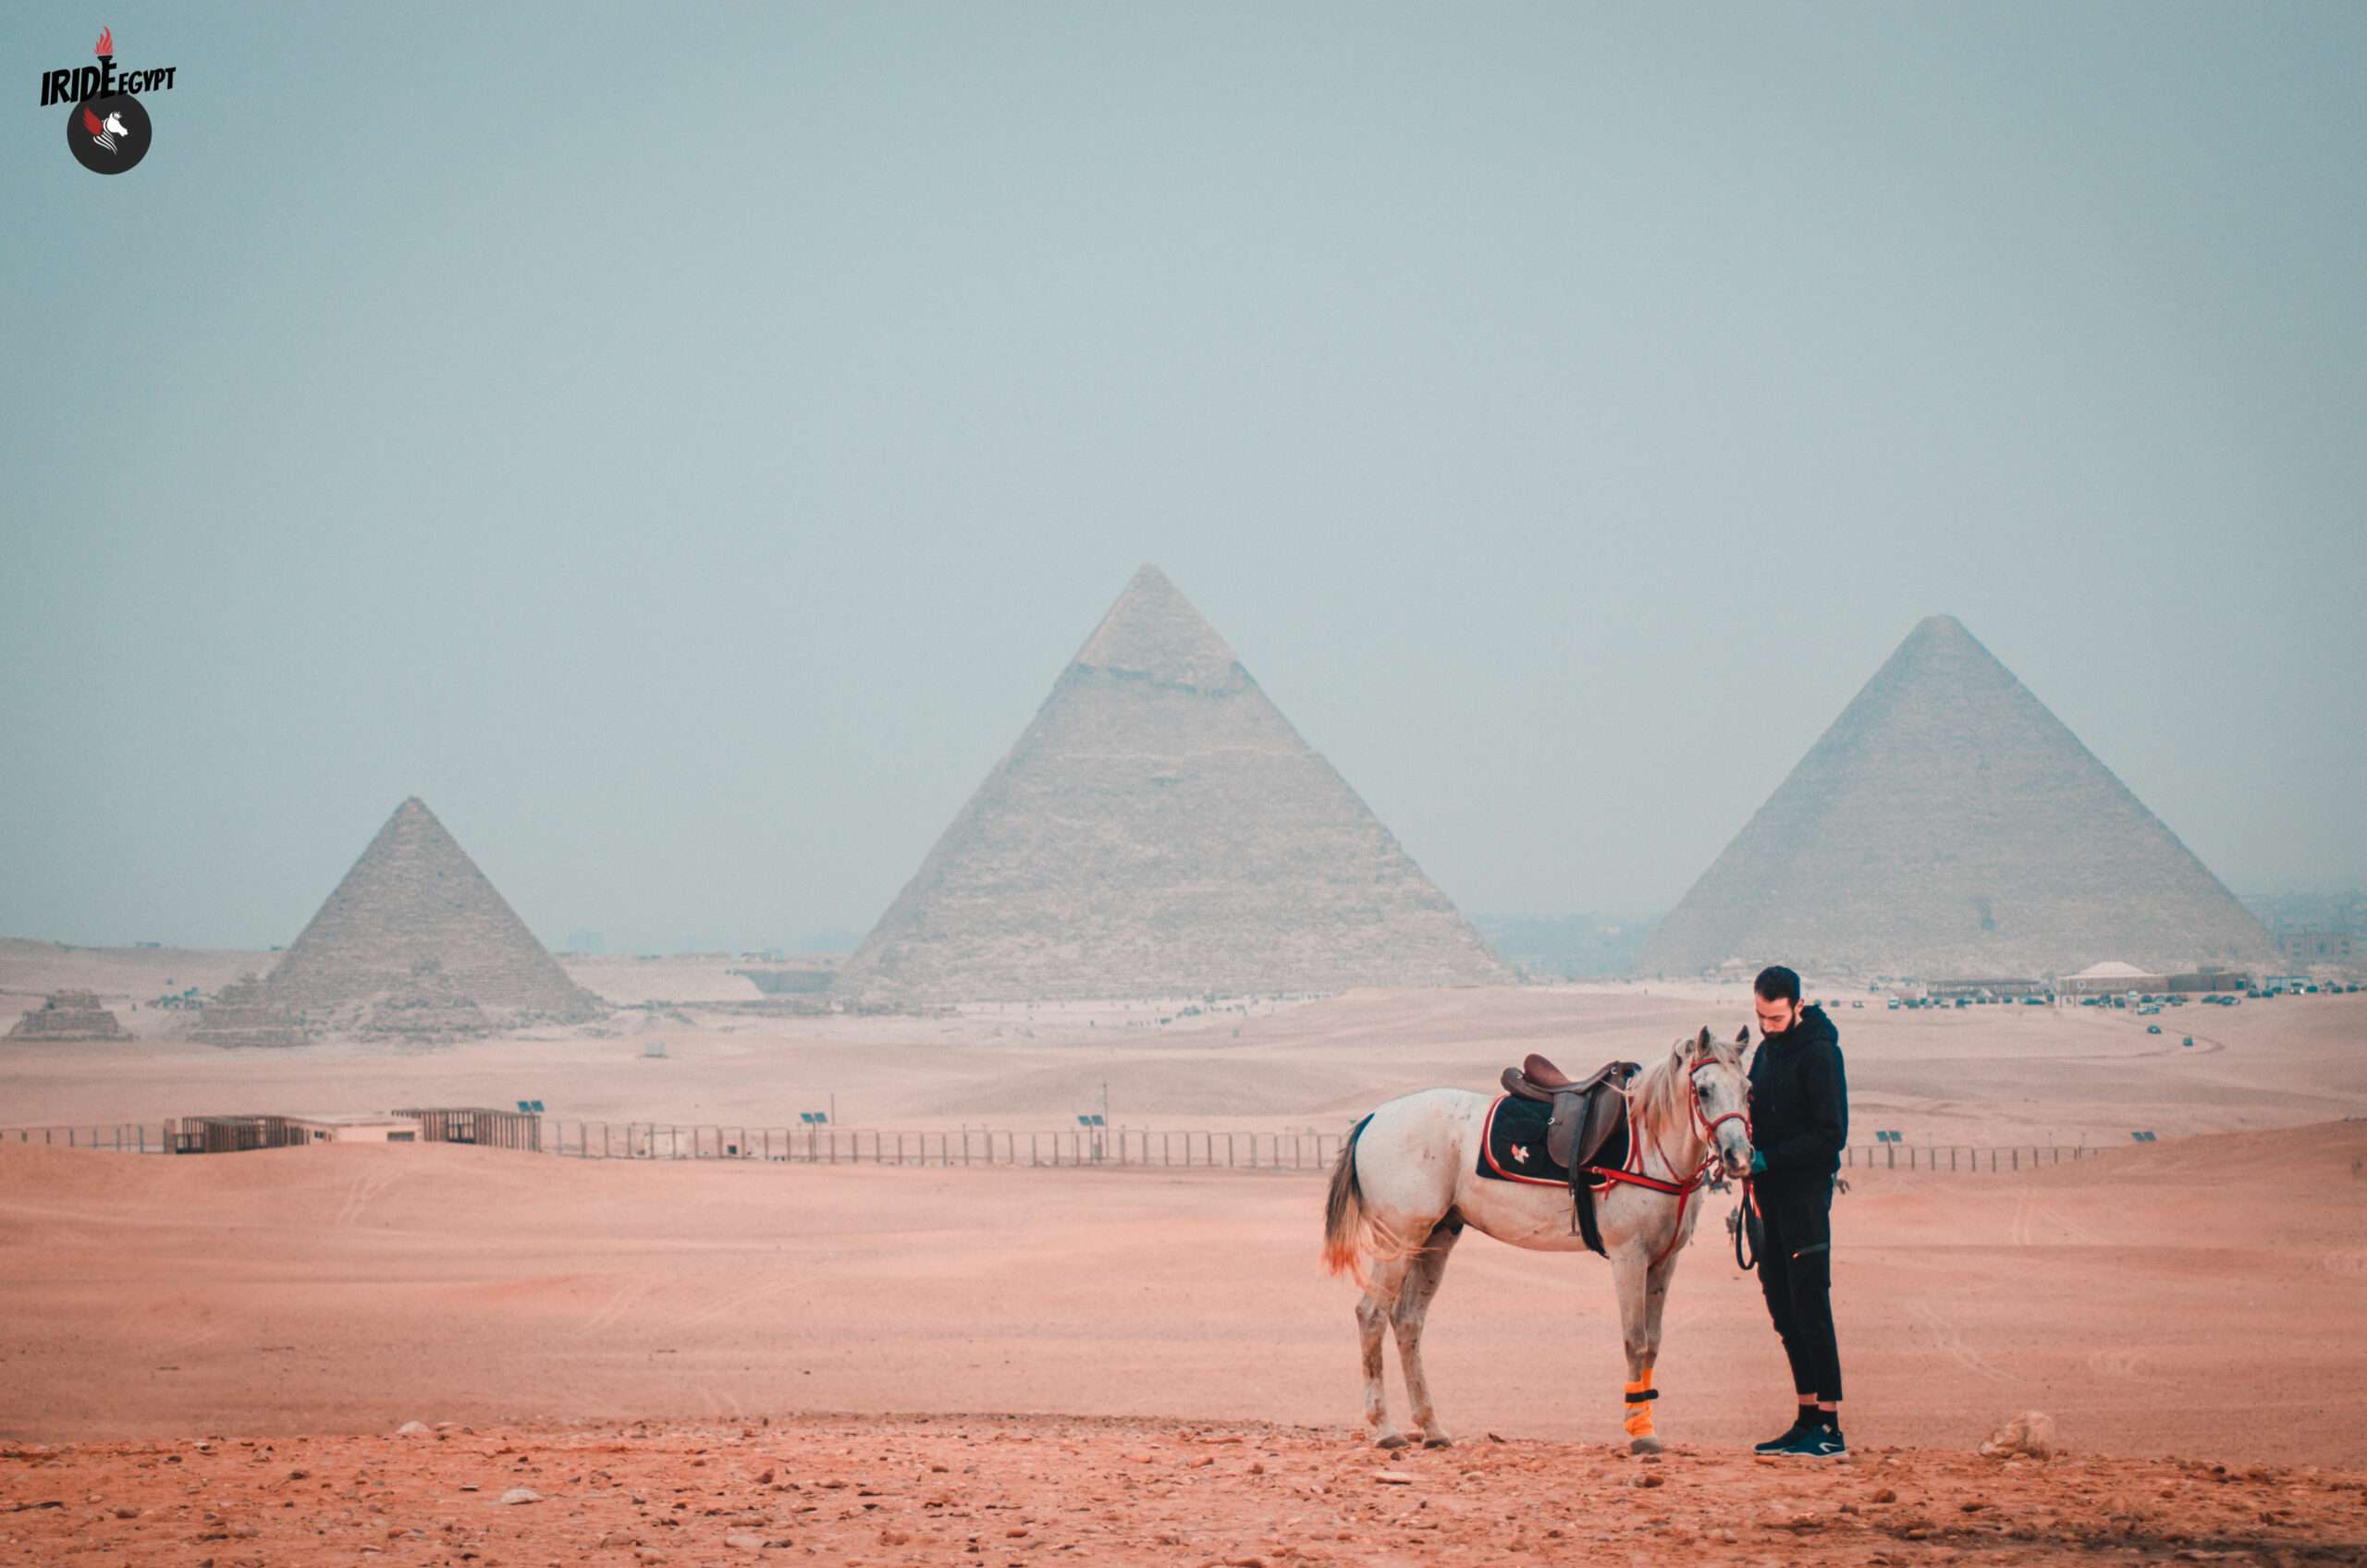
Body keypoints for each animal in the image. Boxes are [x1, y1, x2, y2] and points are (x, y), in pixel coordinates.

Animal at [1321, 1025, 1754, 1453]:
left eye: (1747, 1088)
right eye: (1704, 1090)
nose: (1739, 1157)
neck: (1649, 1143)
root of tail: (1372, 1118)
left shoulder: (1664, 1260)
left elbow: (1654, 1342)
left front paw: (1646, 1424)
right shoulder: (1628, 1255)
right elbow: (1635, 1340)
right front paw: (1640, 1432)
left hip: (1435, 1240)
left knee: (1408, 1321)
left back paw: (1432, 1428)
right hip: (1397, 1239)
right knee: (1371, 1316)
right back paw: (1385, 1428)